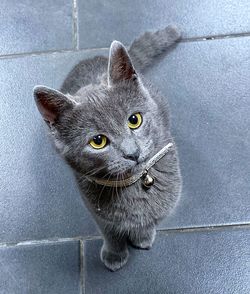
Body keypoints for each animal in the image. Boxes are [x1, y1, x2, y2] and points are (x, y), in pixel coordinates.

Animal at [33, 25, 182, 272]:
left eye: (134, 120)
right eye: (98, 141)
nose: (133, 153)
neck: (134, 184)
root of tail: (96, 57)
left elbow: (148, 220)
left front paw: (143, 237)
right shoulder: (96, 210)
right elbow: (110, 233)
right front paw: (115, 255)